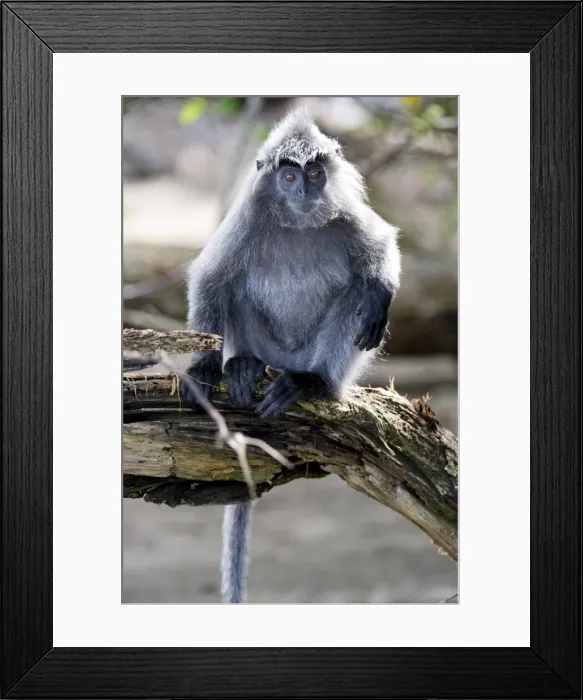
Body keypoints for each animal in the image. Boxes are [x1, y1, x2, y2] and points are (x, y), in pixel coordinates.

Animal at [180, 107, 401, 603]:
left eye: (315, 173)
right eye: (288, 176)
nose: (304, 189)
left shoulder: (347, 216)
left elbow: (381, 247)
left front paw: (382, 289)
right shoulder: (245, 219)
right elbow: (209, 280)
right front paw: (203, 367)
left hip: (316, 353)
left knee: (357, 295)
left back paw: (313, 383)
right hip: (264, 342)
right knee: (233, 288)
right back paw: (242, 366)